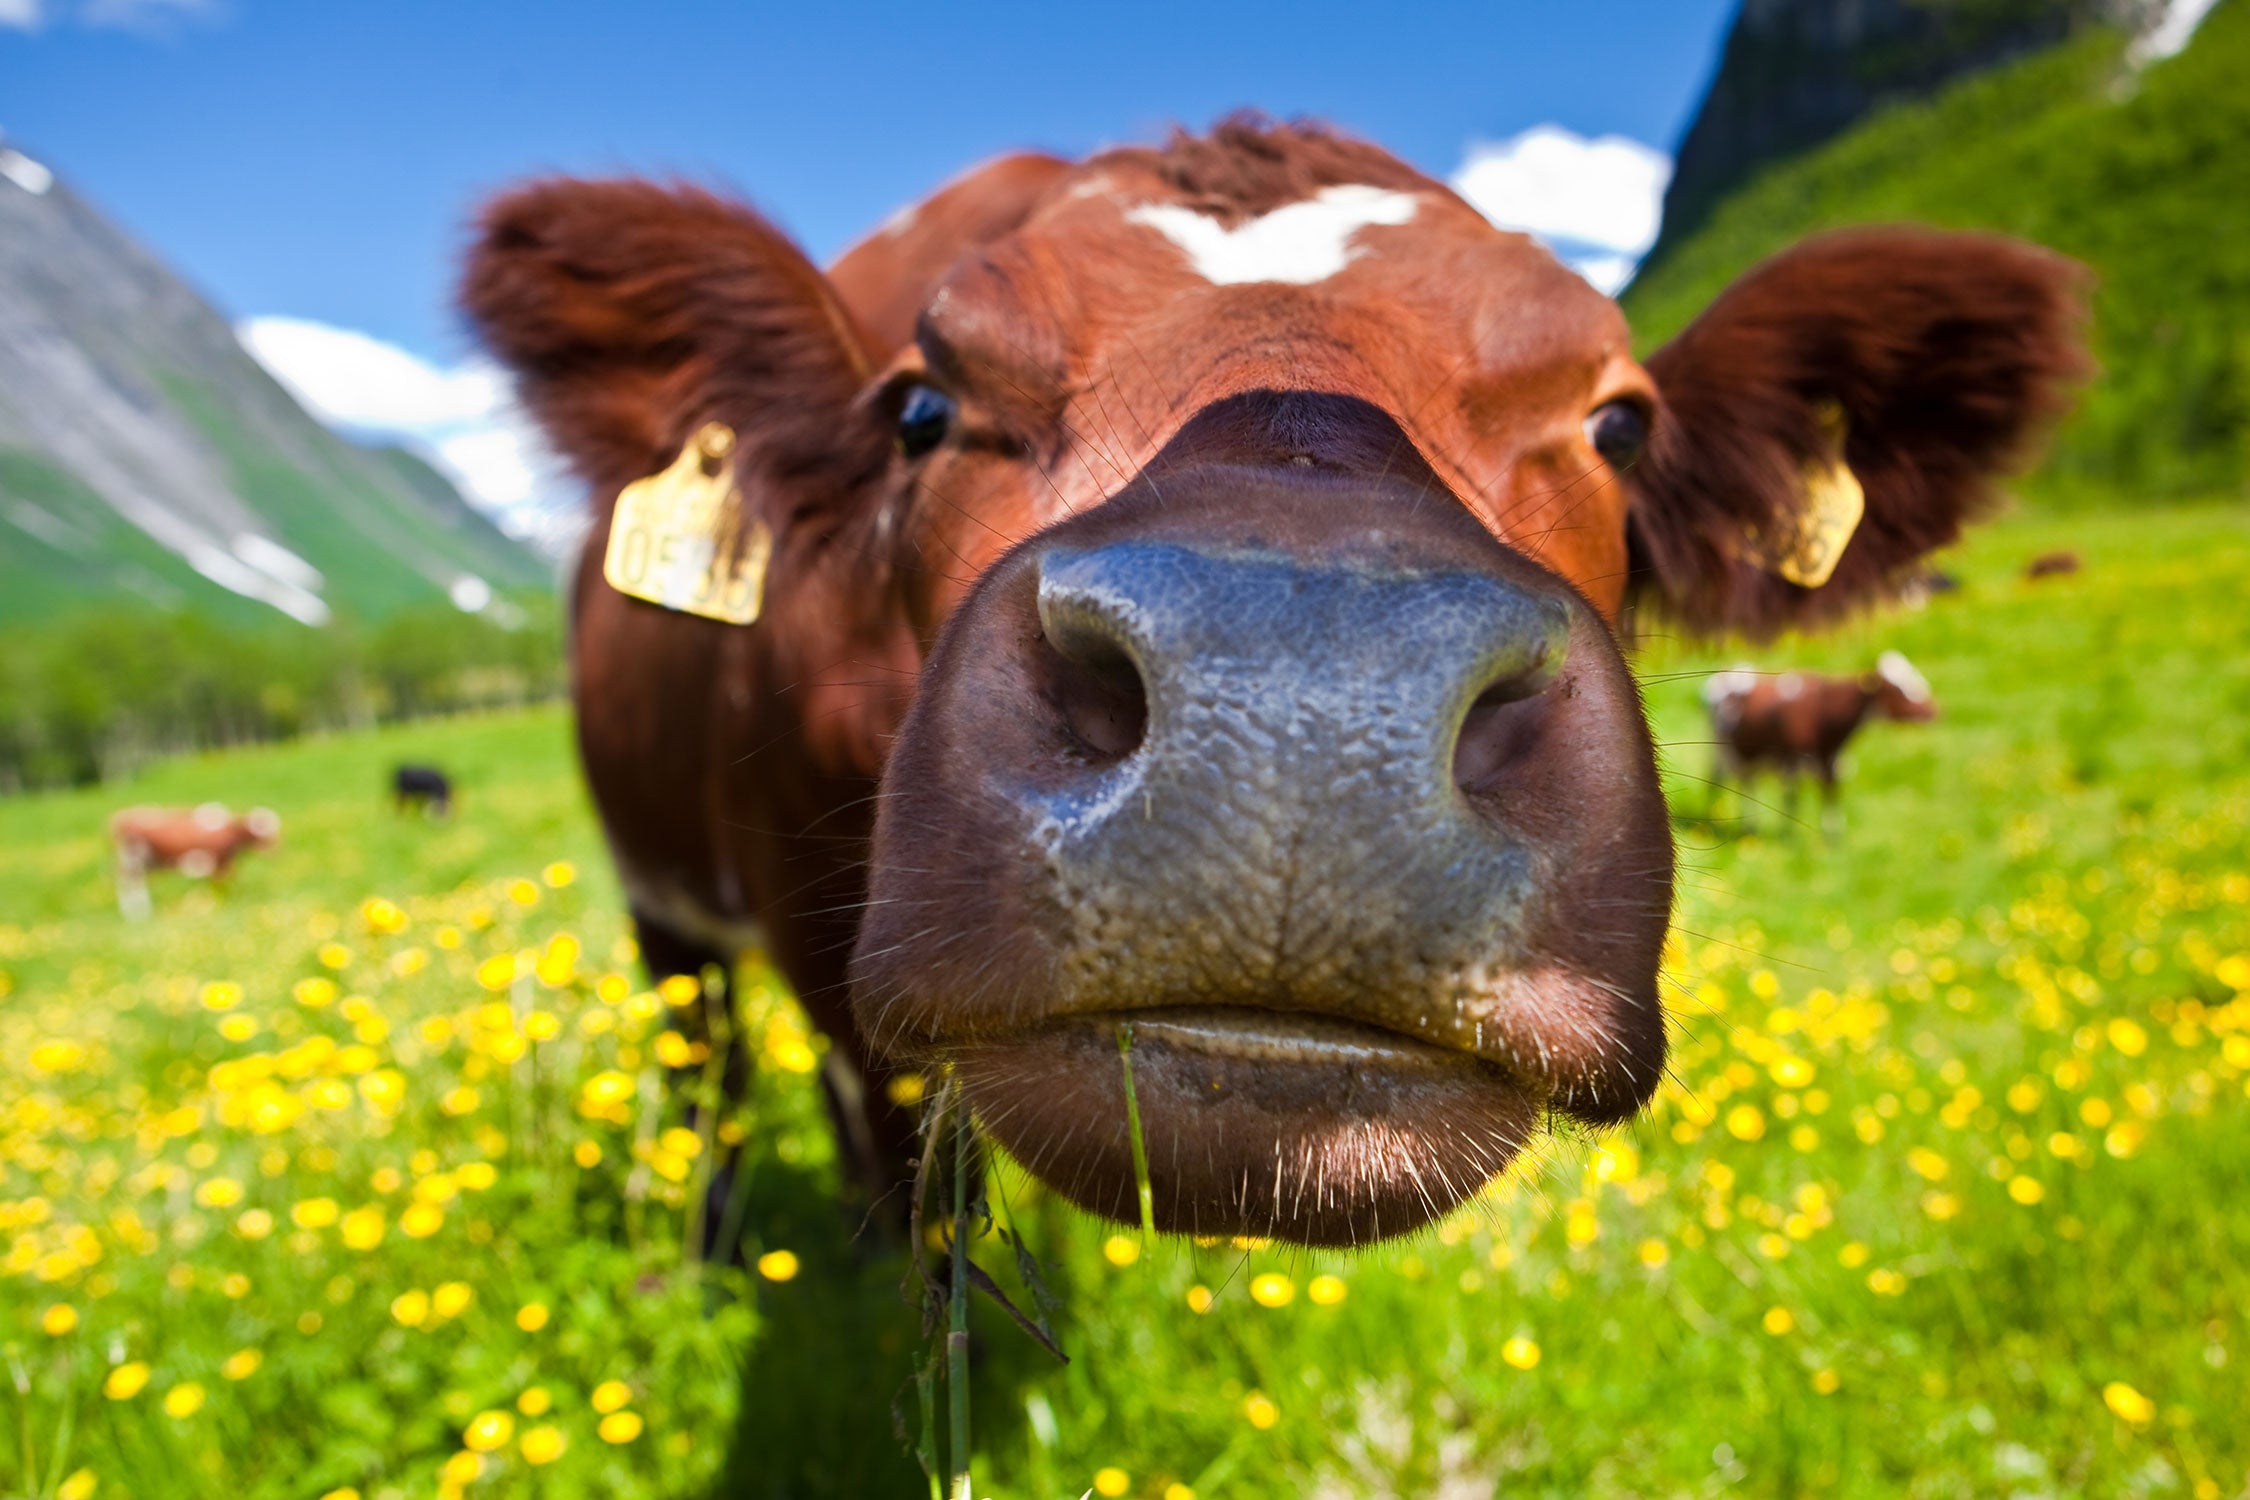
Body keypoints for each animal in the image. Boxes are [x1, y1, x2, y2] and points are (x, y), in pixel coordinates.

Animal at [111, 805, 281, 922]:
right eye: (261, 828)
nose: (275, 850)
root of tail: (121, 818)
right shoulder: (219, 864)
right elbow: (220, 888)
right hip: (133, 860)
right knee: (130, 884)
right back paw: (137, 914)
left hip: (143, 863)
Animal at [1701, 652, 1935, 827]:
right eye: (1898, 688)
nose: (1934, 710)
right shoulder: (1792, 763)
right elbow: (1792, 802)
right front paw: (1789, 837)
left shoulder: (1834, 766)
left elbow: (1831, 803)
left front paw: (1833, 843)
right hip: (1723, 752)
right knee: (1722, 783)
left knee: (1747, 784)